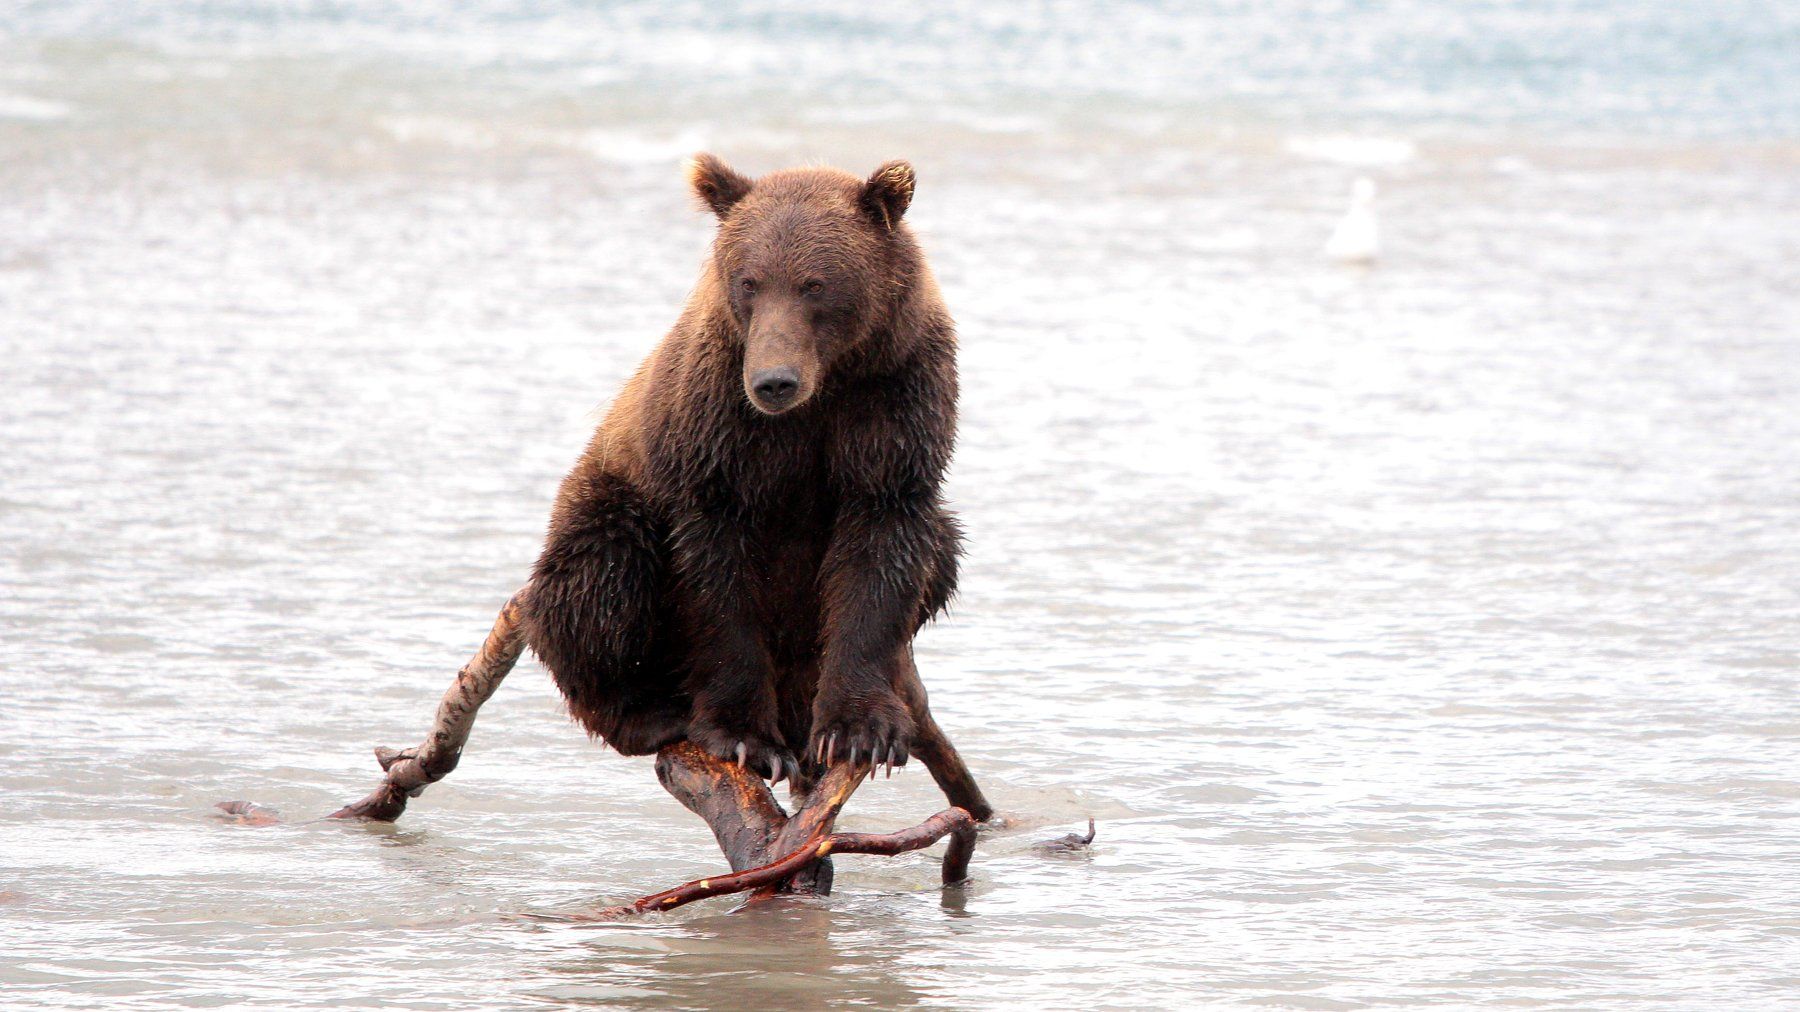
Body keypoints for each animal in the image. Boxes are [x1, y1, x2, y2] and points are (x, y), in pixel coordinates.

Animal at [522, 153, 964, 785]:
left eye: (814, 284)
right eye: (749, 281)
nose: (774, 381)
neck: (824, 390)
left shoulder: (891, 402)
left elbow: (882, 554)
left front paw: (860, 730)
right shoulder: (719, 432)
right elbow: (717, 577)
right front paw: (745, 738)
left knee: (943, 549)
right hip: (606, 499)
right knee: (601, 577)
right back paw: (647, 712)